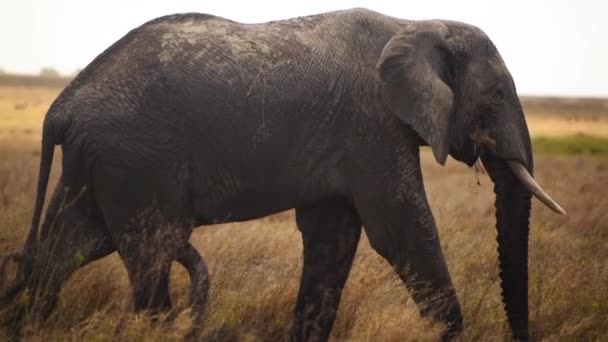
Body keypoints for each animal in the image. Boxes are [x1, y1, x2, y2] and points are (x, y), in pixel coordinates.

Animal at [0, 8, 564, 342]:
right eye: (496, 96)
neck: (417, 21)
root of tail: (63, 104)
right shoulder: (373, 123)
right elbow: (402, 229)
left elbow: (333, 239)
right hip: (137, 162)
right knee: (149, 256)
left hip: (99, 163)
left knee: (69, 247)